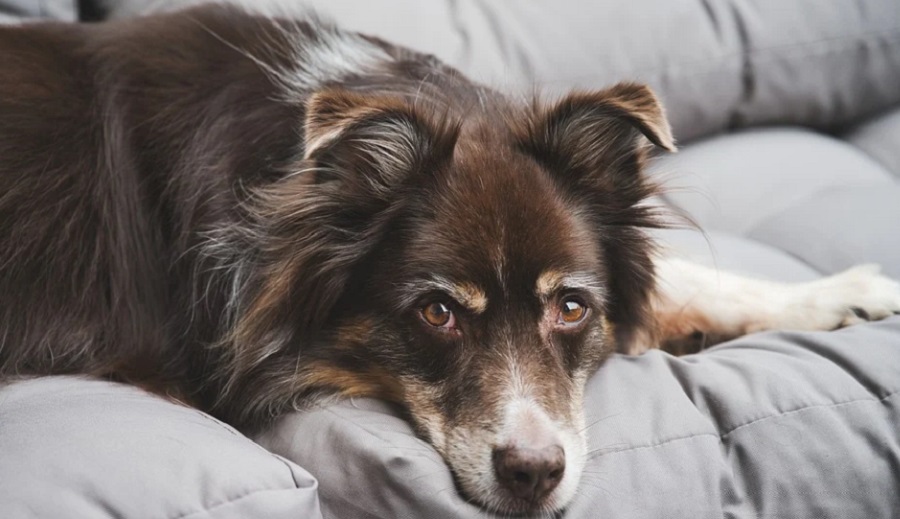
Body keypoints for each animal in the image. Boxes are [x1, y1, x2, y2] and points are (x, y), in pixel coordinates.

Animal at [1, 4, 900, 516]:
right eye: (435, 312)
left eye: (572, 305)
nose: (533, 475)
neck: (292, 175)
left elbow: (677, 276)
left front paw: (838, 294)